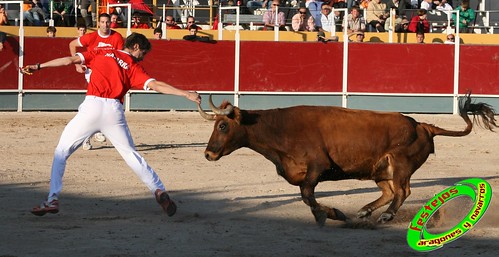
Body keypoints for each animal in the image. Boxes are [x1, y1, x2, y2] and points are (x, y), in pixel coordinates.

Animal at [198, 93, 496, 225]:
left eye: (222, 126)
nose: (208, 154)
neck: (279, 130)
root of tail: (423, 125)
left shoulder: (317, 167)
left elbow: (307, 194)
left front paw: (327, 214)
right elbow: (305, 195)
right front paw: (332, 213)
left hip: (400, 165)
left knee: (403, 192)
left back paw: (386, 215)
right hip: (379, 170)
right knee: (390, 192)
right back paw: (365, 211)